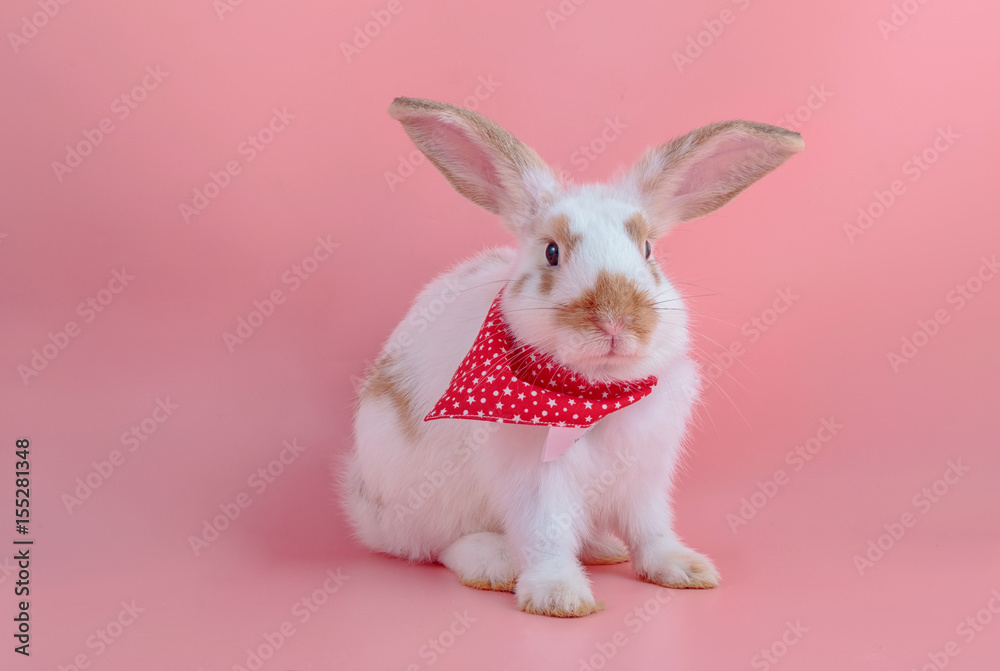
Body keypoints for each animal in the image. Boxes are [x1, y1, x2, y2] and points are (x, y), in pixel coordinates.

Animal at [343, 96, 803, 617]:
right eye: (551, 252)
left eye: (648, 250)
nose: (615, 320)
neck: (594, 395)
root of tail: (365, 506)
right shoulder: (537, 482)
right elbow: (546, 535)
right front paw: (559, 597)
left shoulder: (646, 474)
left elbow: (651, 529)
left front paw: (684, 570)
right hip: (422, 504)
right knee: (436, 545)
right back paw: (495, 563)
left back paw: (604, 547)